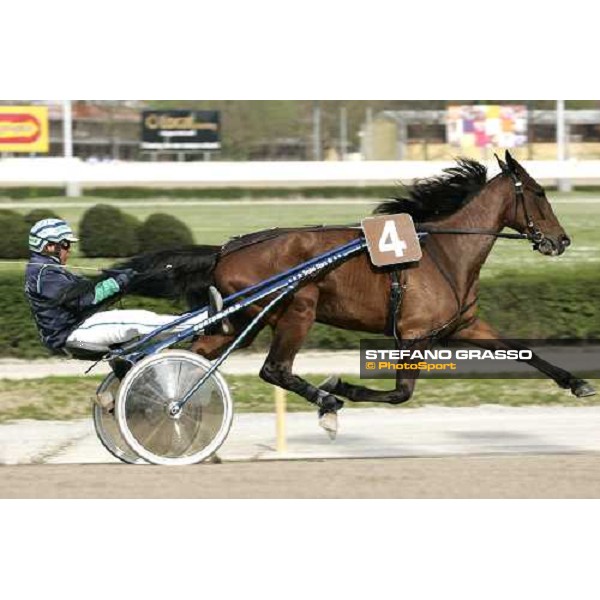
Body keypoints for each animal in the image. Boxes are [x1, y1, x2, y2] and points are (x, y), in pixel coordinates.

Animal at [120, 150, 596, 436]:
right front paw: (343, 385)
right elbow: (401, 393)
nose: (562, 240)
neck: (447, 252)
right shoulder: (414, 335)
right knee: (274, 369)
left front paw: (577, 383)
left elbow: (523, 351)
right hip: (297, 308)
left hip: (241, 320)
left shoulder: (466, 324)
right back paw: (327, 400)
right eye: (539, 193)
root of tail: (226, 248)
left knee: (193, 354)